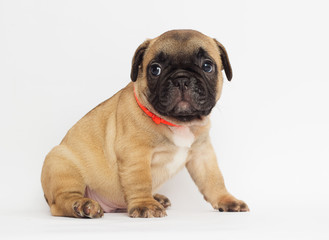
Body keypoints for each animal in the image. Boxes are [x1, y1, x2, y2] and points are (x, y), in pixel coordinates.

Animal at [41, 29, 247, 218]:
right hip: (62, 166)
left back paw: (157, 198)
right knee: (61, 202)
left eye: (207, 66)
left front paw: (227, 200)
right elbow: (140, 181)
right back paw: (83, 206)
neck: (178, 123)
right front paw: (145, 205)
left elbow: (213, 179)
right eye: (155, 69)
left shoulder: (202, 154)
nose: (181, 79)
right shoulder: (135, 154)